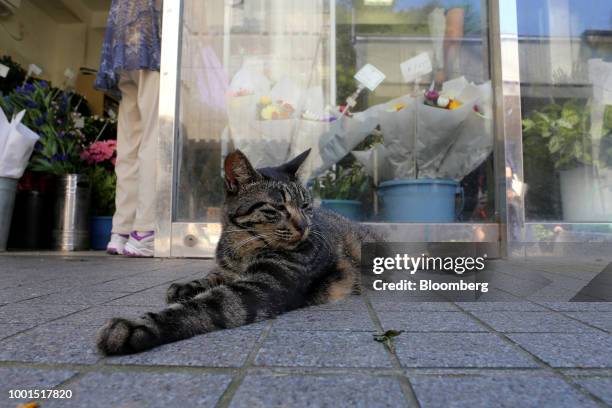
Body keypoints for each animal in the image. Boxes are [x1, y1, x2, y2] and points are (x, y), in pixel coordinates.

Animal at [97, 149, 376, 354]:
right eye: (278, 207)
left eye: (306, 205)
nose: (304, 225)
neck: (242, 247)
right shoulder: (228, 269)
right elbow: (212, 276)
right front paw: (187, 286)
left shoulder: (261, 286)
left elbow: (203, 306)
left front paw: (138, 326)